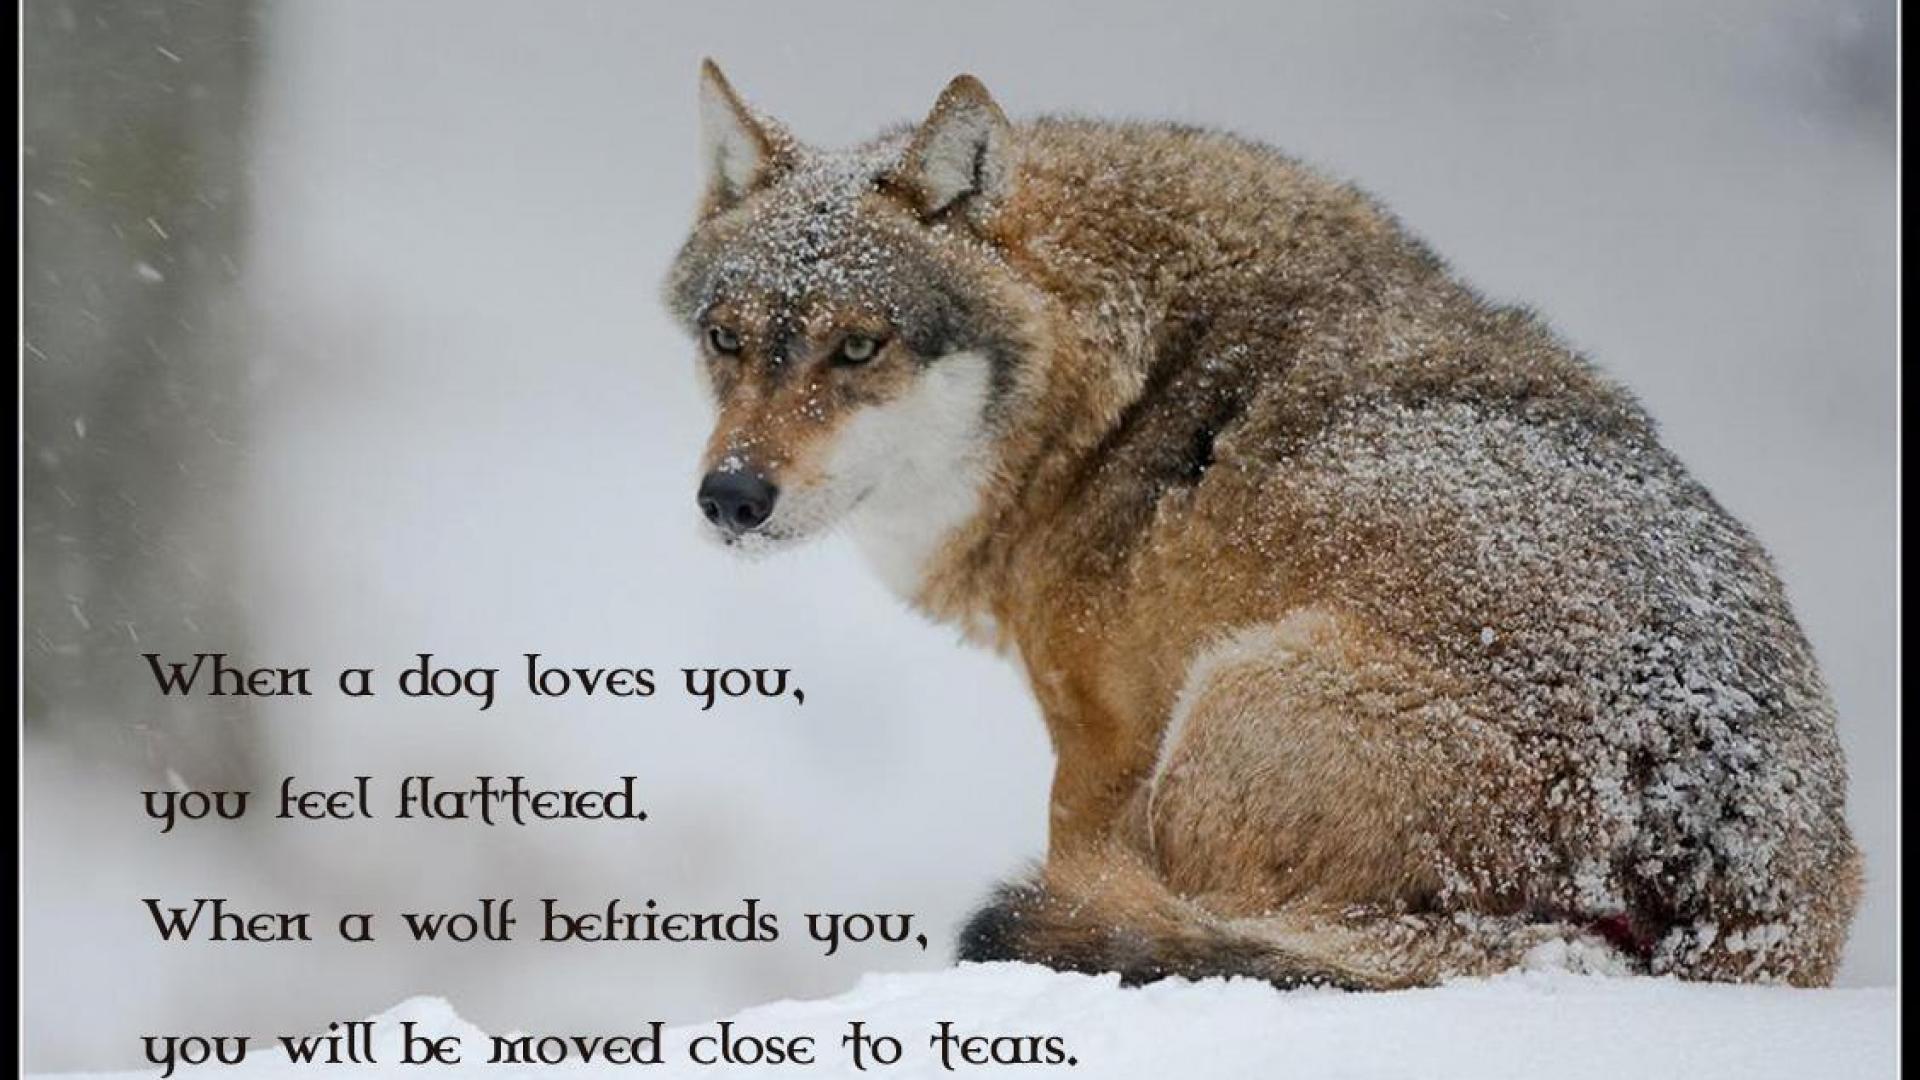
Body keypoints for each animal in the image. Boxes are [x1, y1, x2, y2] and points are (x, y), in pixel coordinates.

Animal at [663, 62, 1860, 988]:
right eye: (727, 339)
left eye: (859, 348)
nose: (731, 497)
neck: (1108, 391)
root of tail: (1713, 861)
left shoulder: (1097, 751)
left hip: (1218, 710)